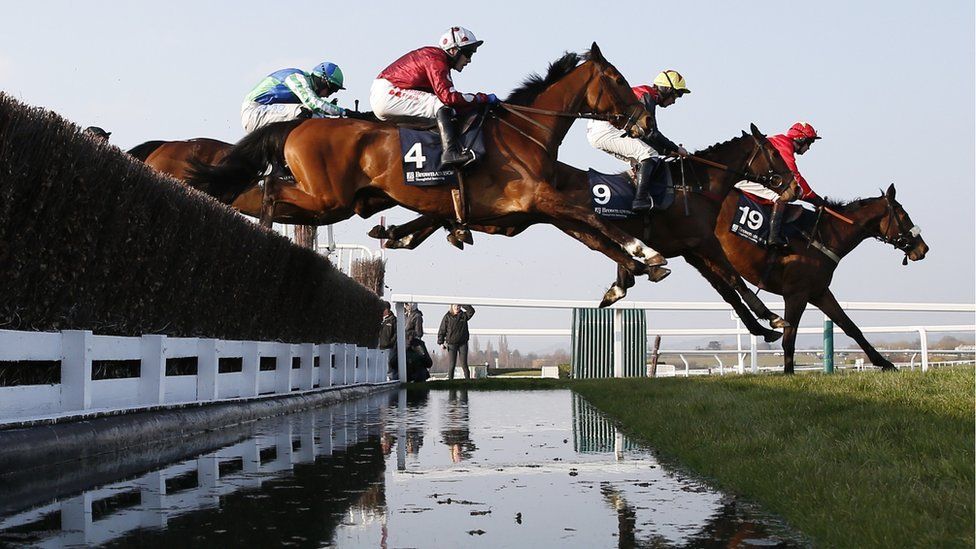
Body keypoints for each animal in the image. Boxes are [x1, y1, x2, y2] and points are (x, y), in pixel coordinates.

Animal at [186, 45, 672, 278]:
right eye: (619, 80)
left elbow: (590, 233)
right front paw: (645, 252)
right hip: (325, 196)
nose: (645, 122)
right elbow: (593, 219)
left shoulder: (533, 209)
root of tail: (298, 124)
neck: (524, 131)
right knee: (265, 188)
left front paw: (636, 268)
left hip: (337, 199)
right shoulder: (539, 199)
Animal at [712, 184, 928, 372]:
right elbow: (789, 338)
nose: (923, 248)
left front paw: (885, 363)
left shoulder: (819, 292)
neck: (822, 237)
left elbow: (850, 327)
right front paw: (788, 373)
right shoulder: (796, 294)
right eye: (904, 215)